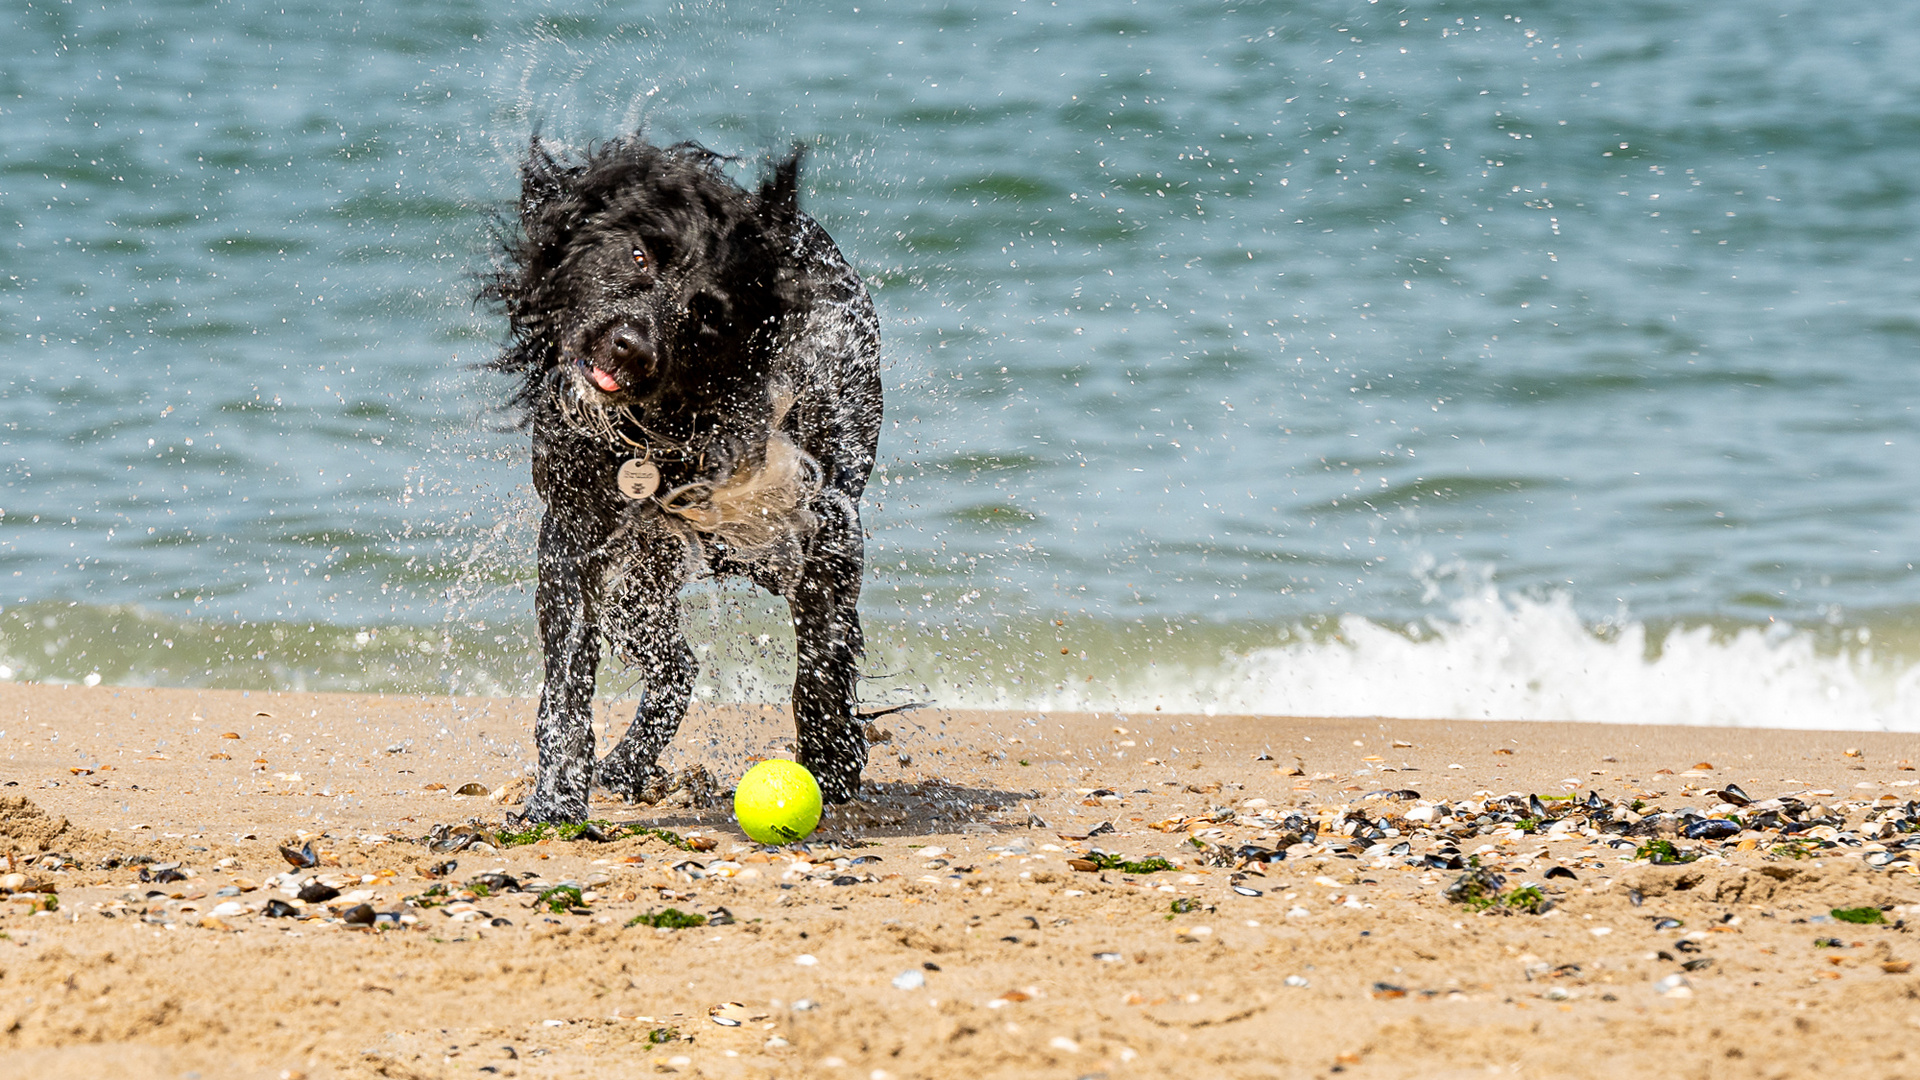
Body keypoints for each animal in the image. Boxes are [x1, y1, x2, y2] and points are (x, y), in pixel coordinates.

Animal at [491, 136, 887, 822]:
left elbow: (823, 658)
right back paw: (626, 764)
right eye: (638, 255)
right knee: (676, 664)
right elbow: (565, 691)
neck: (663, 432)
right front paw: (555, 802)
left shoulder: (826, 532)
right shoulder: (572, 546)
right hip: (635, 585)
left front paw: (831, 756)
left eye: (707, 313)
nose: (631, 348)